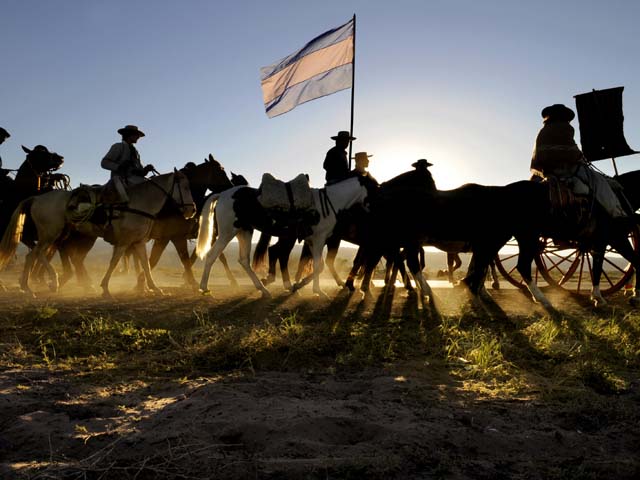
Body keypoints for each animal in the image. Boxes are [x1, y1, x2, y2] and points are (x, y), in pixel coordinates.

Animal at [0, 171, 195, 298]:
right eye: (185, 186)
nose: (191, 210)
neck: (139, 202)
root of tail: (36, 198)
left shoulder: (138, 242)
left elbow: (146, 265)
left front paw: (154, 288)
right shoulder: (124, 242)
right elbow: (114, 262)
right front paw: (106, 288)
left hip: (57, 235)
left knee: (34, 256)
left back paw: (28, 287)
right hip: (50, 234)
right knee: (38, 253)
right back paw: (52, 282)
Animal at [195, 175, 376, 296]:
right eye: (375, 185)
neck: (329, 203)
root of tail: (223, 194)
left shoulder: (312, 241)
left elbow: (321, 265)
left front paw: (300, 284)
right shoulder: (319, 240)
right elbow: (319, 265)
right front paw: (317, 290)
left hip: (244, 232)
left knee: (244, 260)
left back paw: (263, 289)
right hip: (227, 233)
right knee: (212, 255)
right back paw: (203, 287)